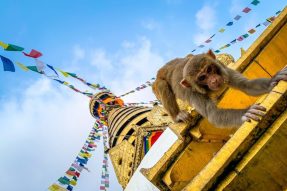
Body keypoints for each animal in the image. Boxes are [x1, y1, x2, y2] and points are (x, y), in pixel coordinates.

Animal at [154, 49, 287, 127]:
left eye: (209, 69)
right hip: (157, 85)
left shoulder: (223, 69)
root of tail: (164, 68)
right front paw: (245, 113)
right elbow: (213, 114)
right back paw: (177, 116)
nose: (213, 80)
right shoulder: (194, 93)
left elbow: (245, 85)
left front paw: (272, 81)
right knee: (162, 85)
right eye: (202, 77)